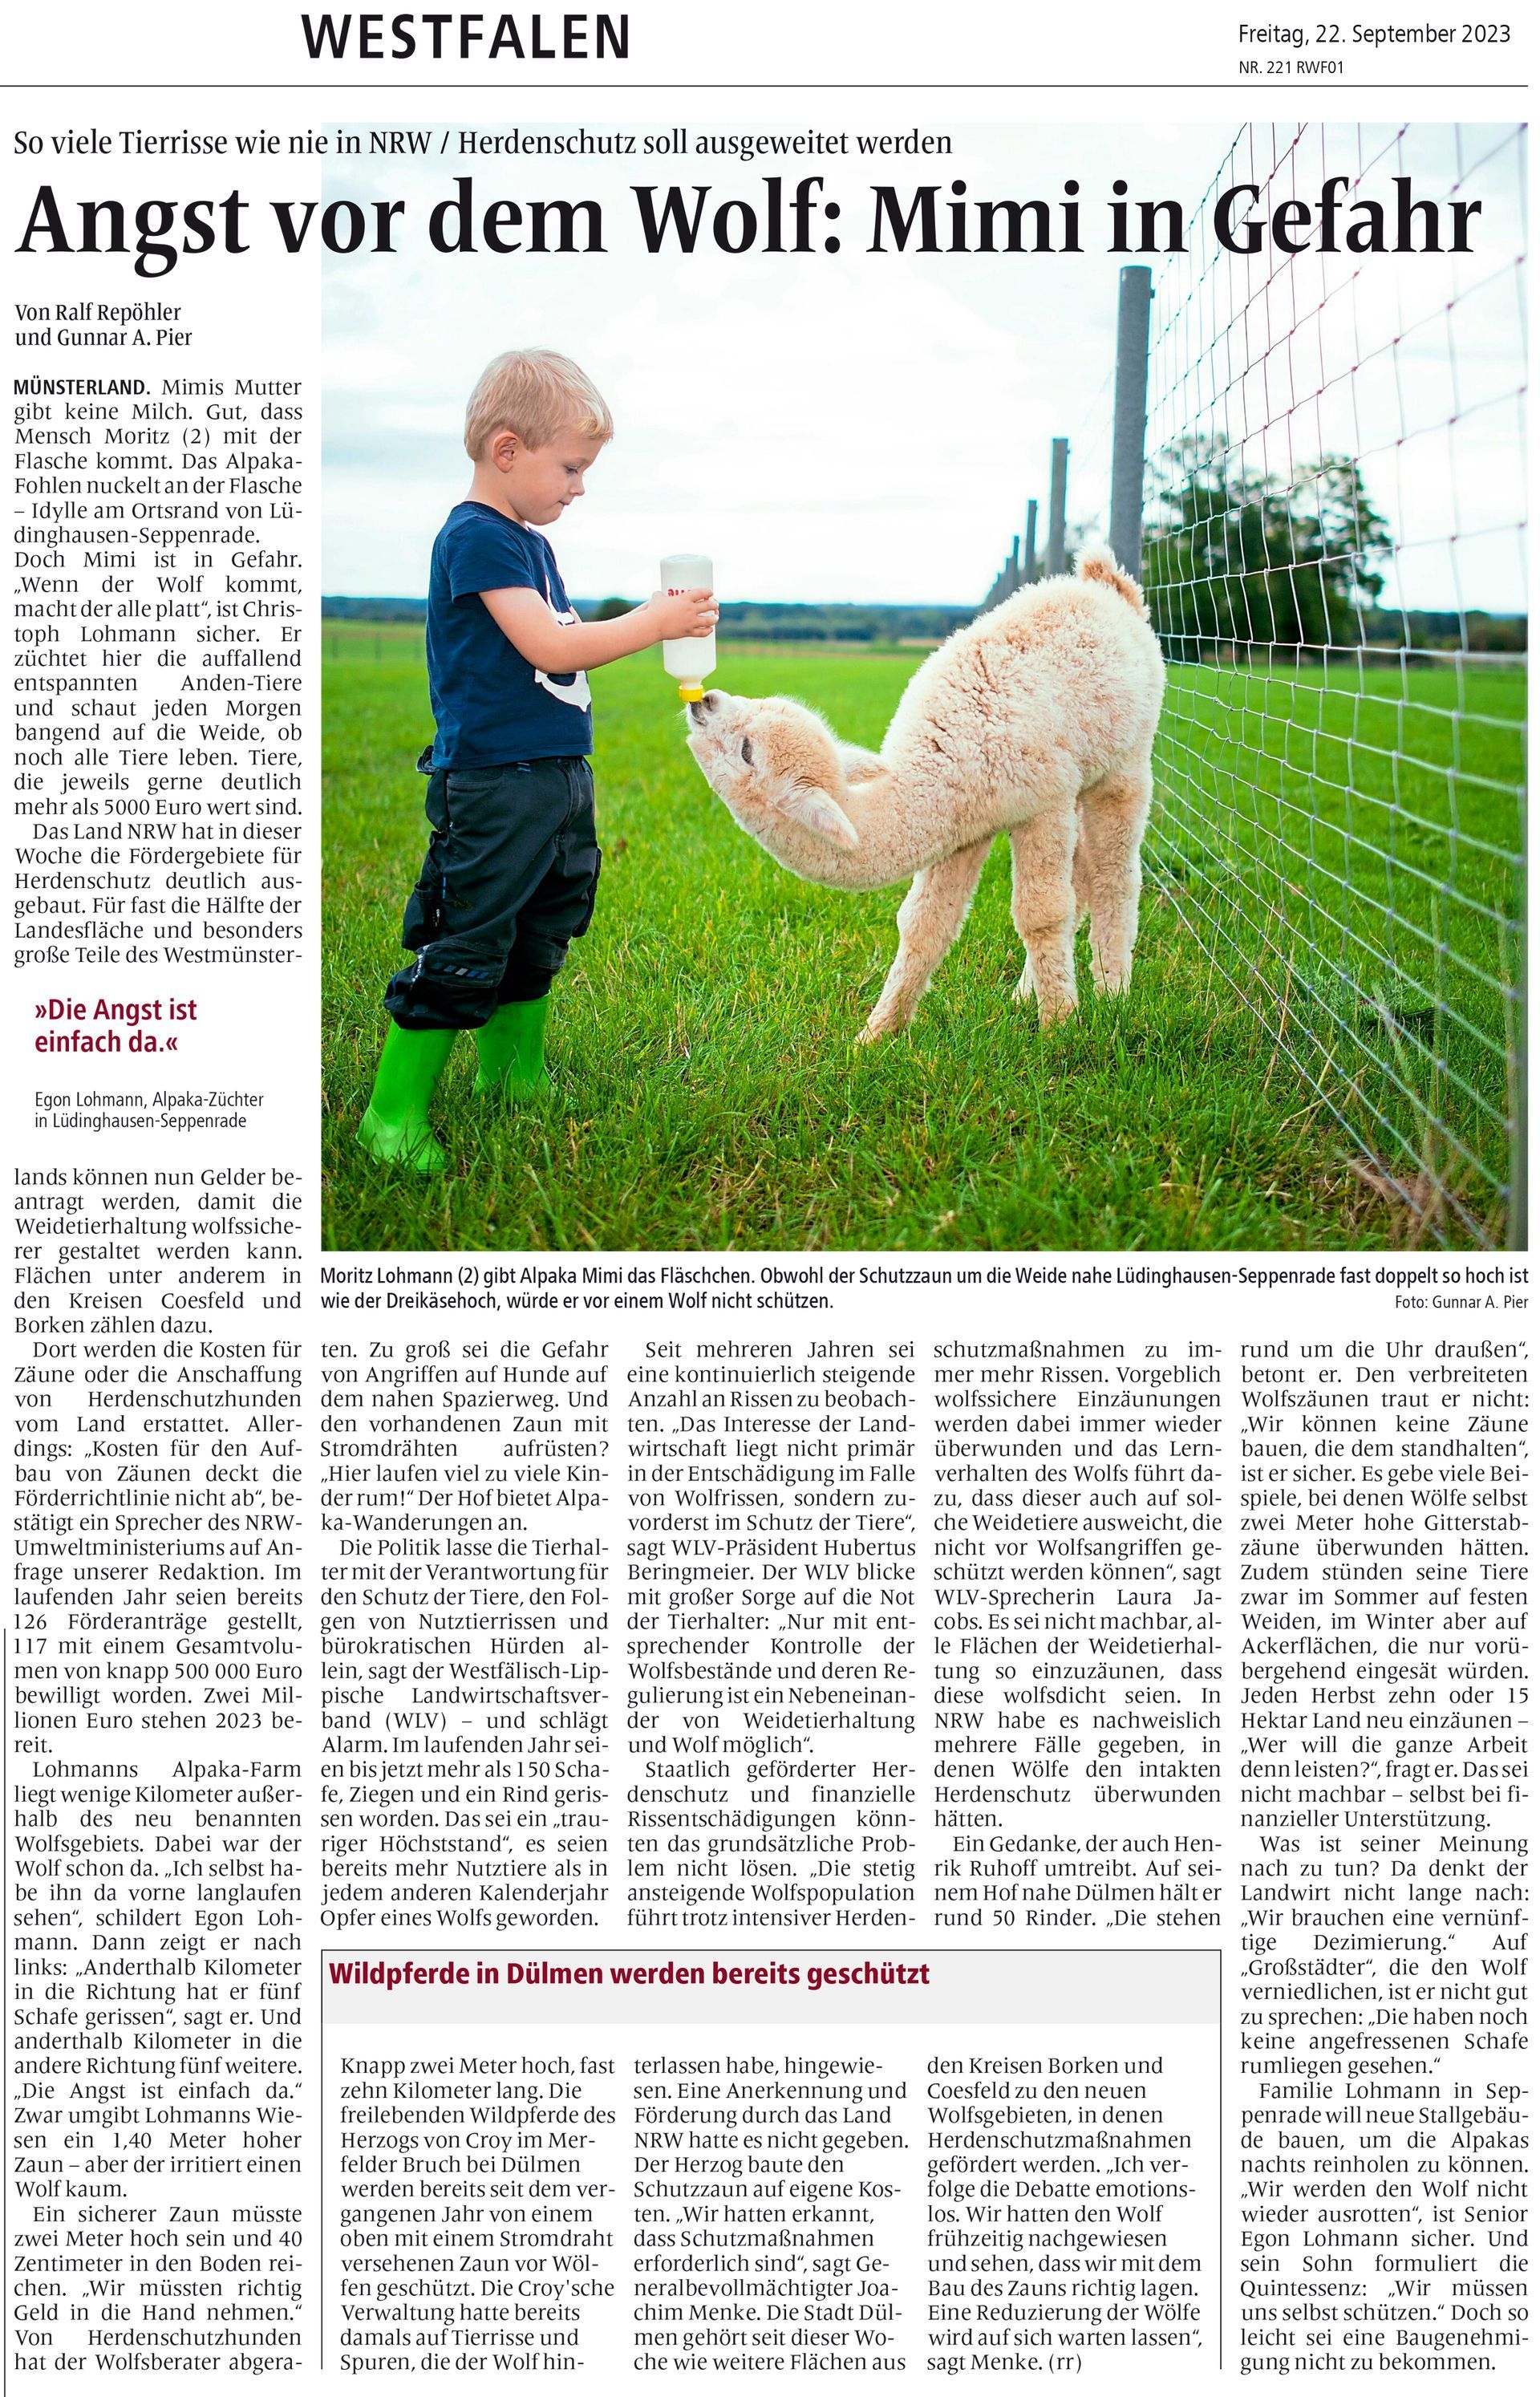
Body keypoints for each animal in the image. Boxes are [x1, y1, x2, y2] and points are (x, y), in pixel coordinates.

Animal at [684, 548, 1166, 1041]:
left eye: (748, 751)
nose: (704, 701)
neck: (934, 773)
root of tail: (1104, 584)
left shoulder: (1043, 803)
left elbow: (1041, 914)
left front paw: (1059, 1028)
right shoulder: (965, 830)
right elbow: (924, 924)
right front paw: (876, 1036)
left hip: (1125, 758)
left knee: (1113, 874)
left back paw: (1112, 990)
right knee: (1084, 876)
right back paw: (1027, 992)